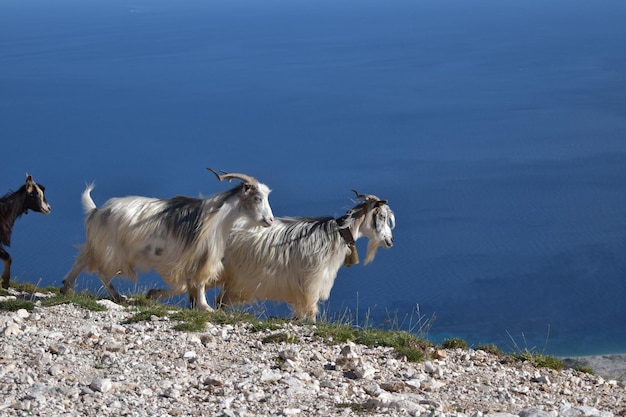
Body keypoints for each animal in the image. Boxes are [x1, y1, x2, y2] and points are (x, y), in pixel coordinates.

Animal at [59, 168, 272, 308]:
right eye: (257, 198)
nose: (269, 220)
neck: (215, 218)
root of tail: (96, 212)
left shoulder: (202, 257)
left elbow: (198, 283)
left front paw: (203, 307)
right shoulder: (176, 261)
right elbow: (184, 285)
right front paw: (153, 294)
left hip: (98, 245)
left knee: (82, 260)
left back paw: (66, 288)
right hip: (112, 250)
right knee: (102, 271)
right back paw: (117, 296)